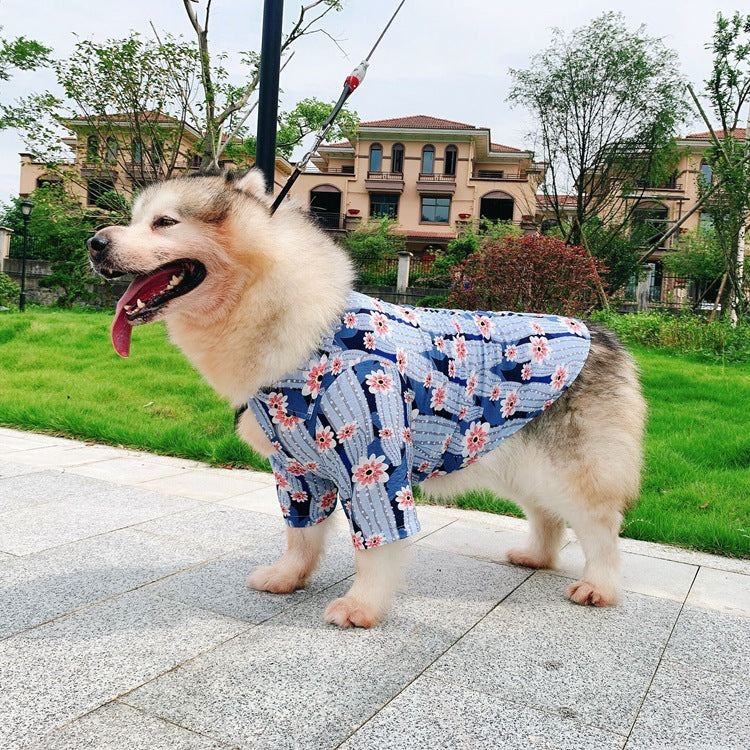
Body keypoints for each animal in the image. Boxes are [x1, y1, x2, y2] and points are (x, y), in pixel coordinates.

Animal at [88, 170, 648, 628]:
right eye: (135, 219)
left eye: (165, 222)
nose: (95, 242)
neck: (302, 332)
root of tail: (603, 333)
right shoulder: (296, 470)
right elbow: (301, 534)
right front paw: (288, 577)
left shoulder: (374, 459)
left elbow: (377, 543)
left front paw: (363, 607)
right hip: (521, 456)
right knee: (547, 515)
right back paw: (537, 557)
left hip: (572, 466)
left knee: (600, 527)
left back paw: (599, 586)